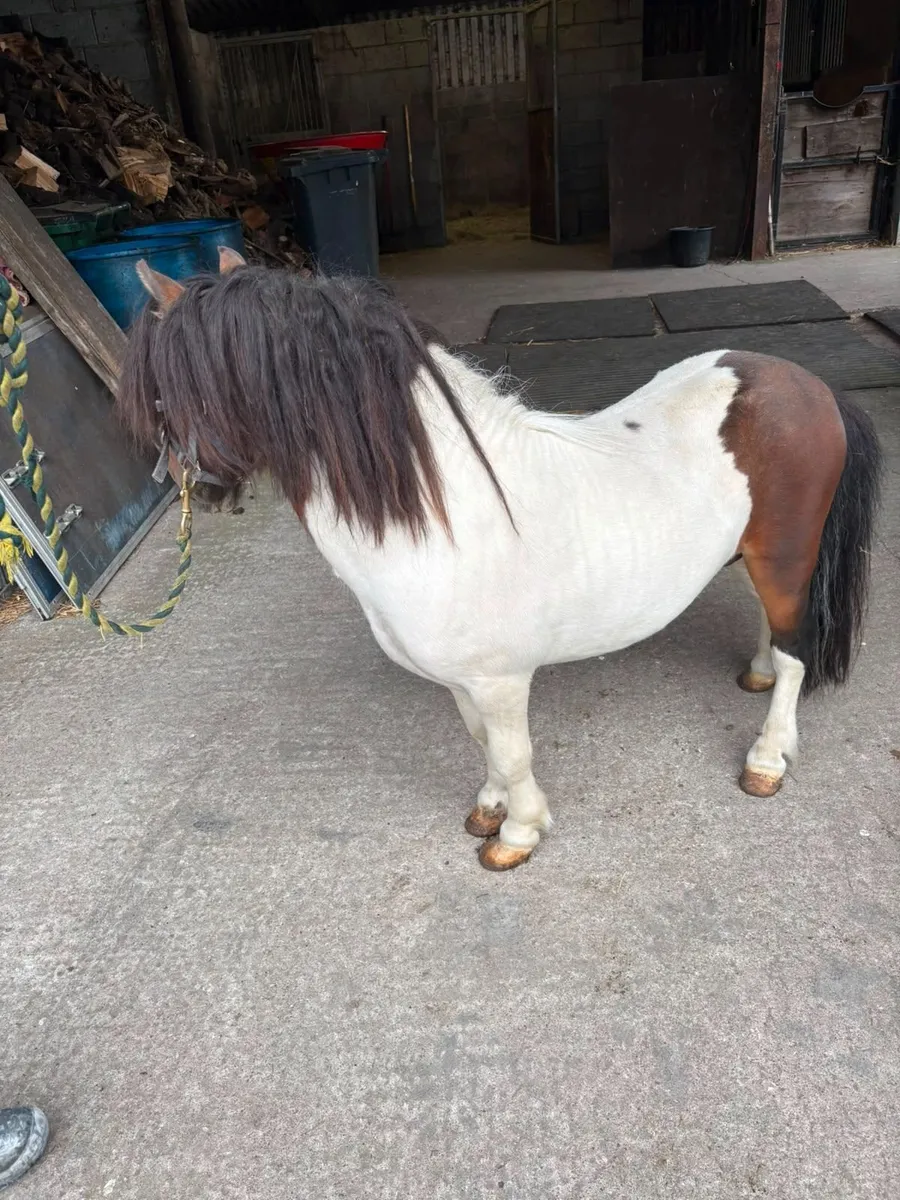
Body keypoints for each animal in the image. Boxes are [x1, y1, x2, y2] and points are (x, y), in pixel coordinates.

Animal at [117, 249, 882, 871]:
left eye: (161, 386)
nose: (184, 483)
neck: (441, 513)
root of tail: (812, 386)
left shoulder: (501, 679)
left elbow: (513, 751)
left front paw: (518, 834)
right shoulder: (465, 682)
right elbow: (480, 740)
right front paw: (489, 808)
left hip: (788, 553)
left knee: (796, 650)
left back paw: (766, 759)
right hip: (761, 555)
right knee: (771, 623)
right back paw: (755, 674)